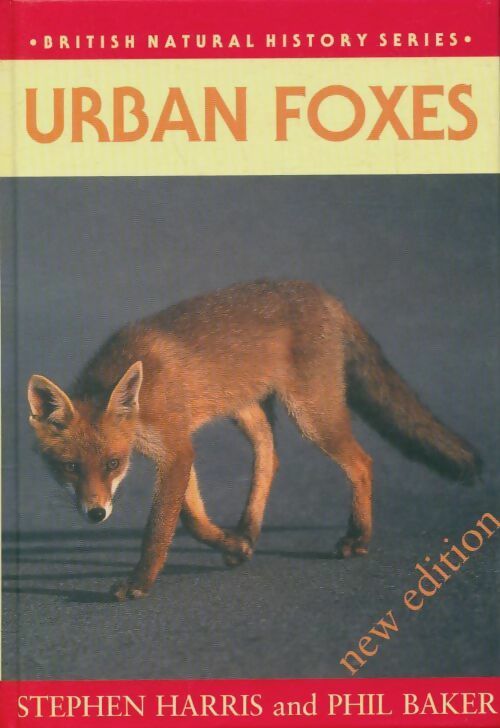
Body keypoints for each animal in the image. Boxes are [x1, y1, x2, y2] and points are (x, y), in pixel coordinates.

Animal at [27, 279, 482, 601]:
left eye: (112, 464)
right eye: (70, 467)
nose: (96, 514)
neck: (141, 396)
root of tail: (323, 294)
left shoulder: (175, 448)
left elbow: (161, 528)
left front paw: (139, 581)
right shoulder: (176, 450)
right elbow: (192, 520)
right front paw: (234, 544)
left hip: (313, 416)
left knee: (362, 462)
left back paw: (358, 537)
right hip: (244, 408)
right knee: (270, 455)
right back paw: (247, 529)